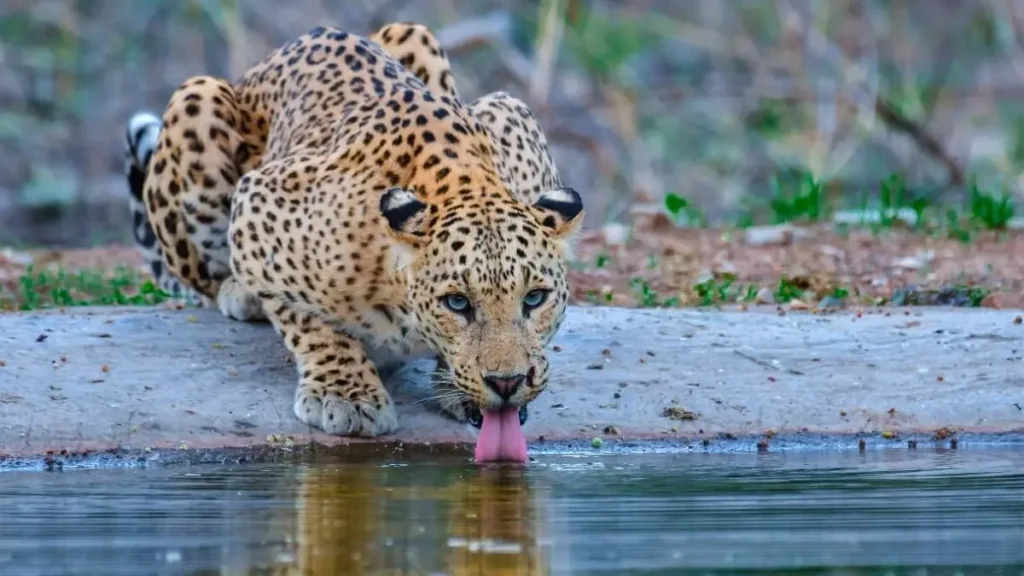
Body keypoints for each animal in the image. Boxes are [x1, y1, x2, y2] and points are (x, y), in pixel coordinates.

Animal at [121, 21, 584, 439]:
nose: (507, 383)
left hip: (413, 32)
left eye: (535, 298)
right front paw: (345, 394)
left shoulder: (511, 112)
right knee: (209, 277)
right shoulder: (259, 201)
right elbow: (305, 316)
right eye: (457, 303)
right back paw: (240, 293)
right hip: (195, 99)